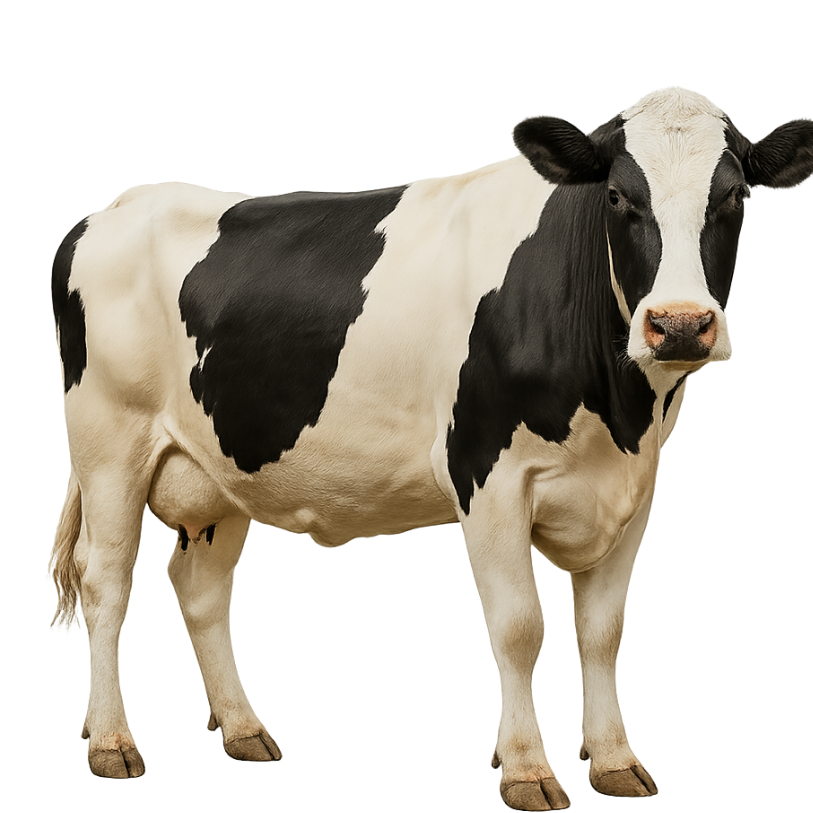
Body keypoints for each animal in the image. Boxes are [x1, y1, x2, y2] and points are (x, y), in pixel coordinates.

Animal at [48, 87, 812, 809]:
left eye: (735, 195)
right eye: (619, 196)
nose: (679, 324)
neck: (617, 410)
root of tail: (110, 210)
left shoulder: (635, 485)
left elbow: (602, 630)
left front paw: (615, 760)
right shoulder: (487, 476)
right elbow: (519, 627)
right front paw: (526, 768)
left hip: (224, 471)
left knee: (200, 589)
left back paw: (243, 729)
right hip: (109, 443)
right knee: (106, 582)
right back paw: (112, 741)